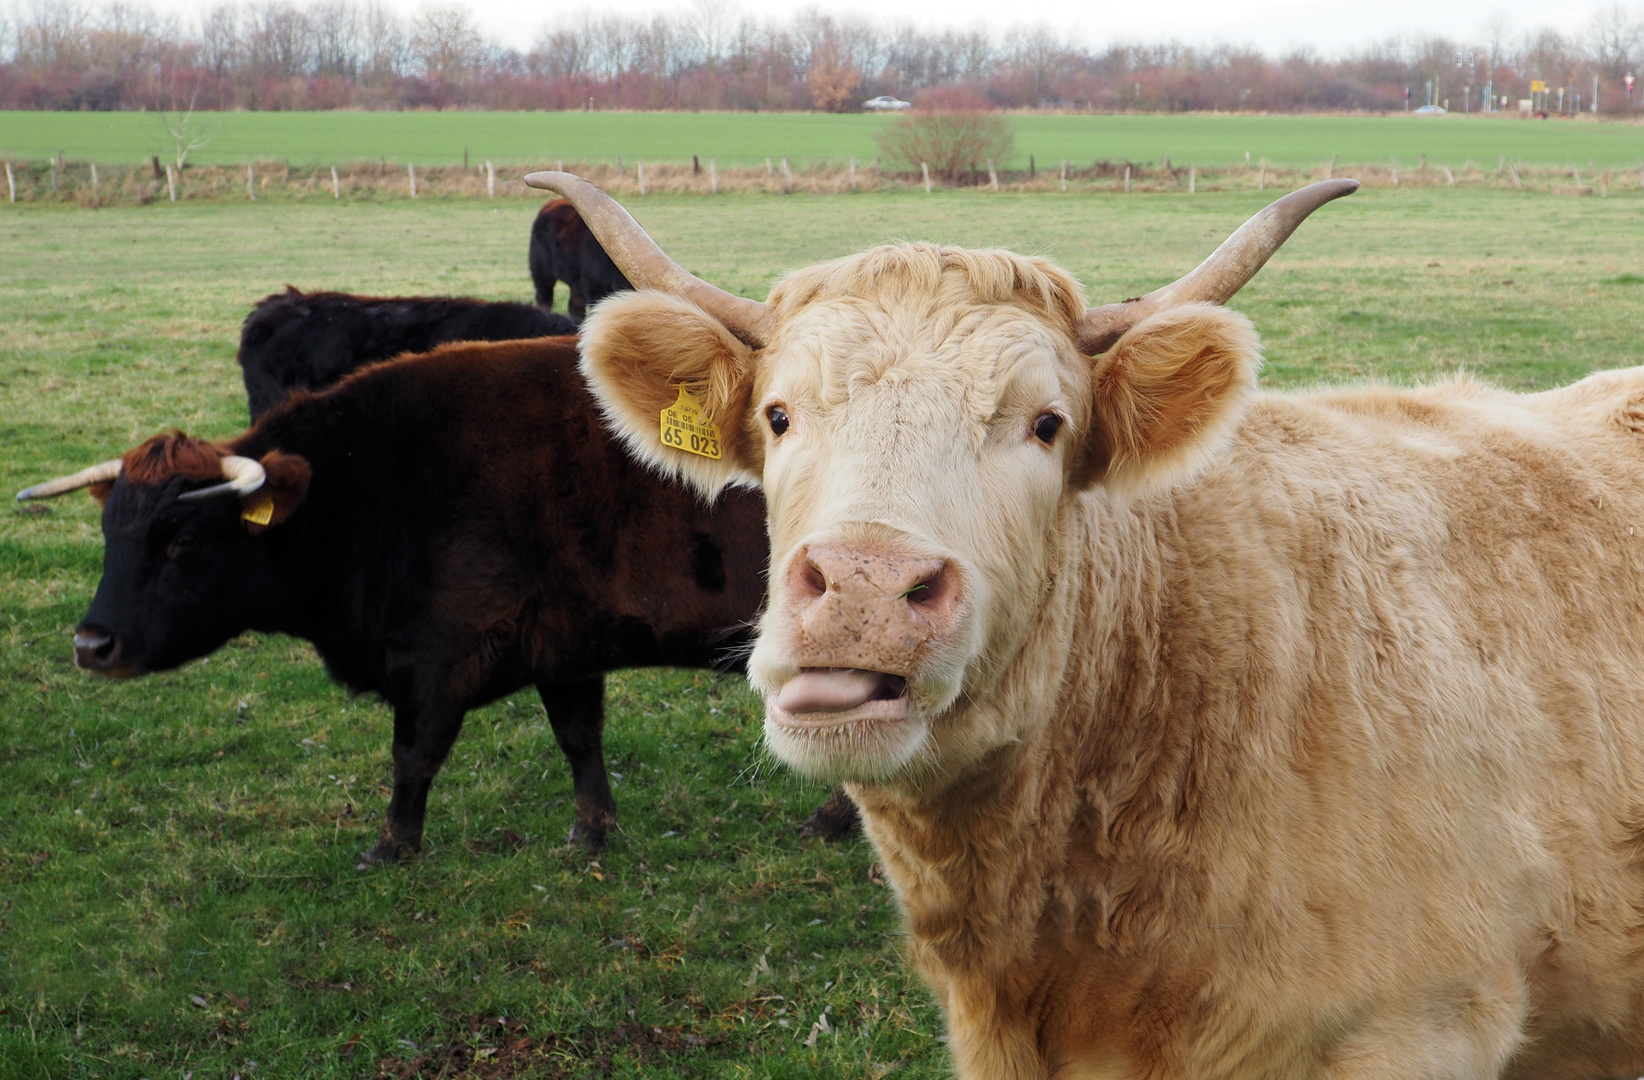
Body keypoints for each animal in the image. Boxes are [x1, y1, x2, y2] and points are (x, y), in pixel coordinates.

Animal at [22, 336, 795, 861]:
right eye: (109, 532)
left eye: (183, 538)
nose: (92, 644)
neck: (371, 484)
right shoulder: (566, 650)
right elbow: (579, 739)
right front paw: (592, 831)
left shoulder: (438, 659)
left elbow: (413, 755)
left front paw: (392, 845)